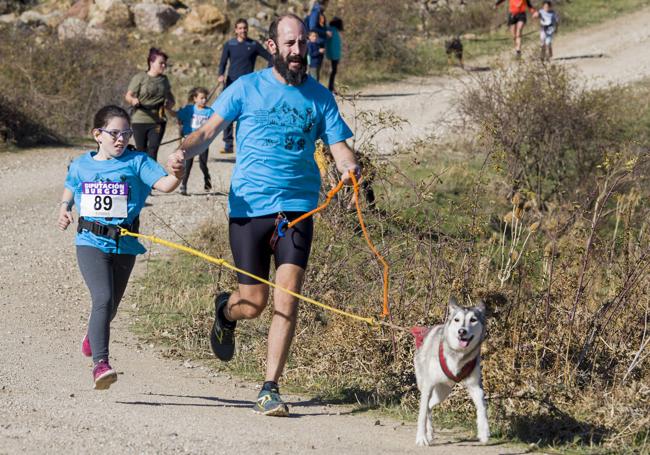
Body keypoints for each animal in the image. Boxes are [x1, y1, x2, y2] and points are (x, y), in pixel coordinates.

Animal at [410, 298, 486, 448]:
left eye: (473, 320)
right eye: (457, 320)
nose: (462, 331)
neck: (457, 354)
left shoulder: (475, 386)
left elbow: (482, 406)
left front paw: (484, 432)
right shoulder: (428, 385)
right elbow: (421, 415)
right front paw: (421, 438)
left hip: (443, 392)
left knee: (429, 406)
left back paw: (430, 431)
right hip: (427, 384)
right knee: (425, 407)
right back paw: (427, 433)